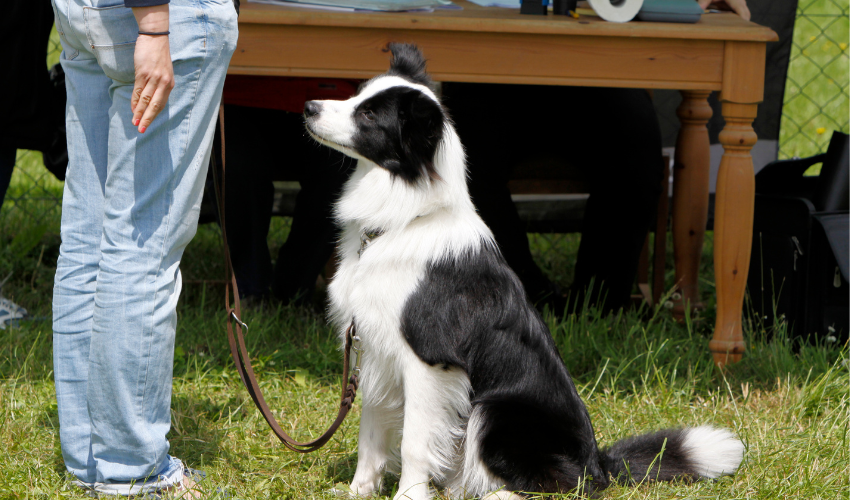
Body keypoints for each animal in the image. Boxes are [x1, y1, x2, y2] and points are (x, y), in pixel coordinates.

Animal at [302, 44, 740, 500]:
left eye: (369, 115)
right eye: (358, 95)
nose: (309, 107)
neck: (403, 221)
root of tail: (599, 465)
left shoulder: (428, 359)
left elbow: (414, 443)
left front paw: (408, 495)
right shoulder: (373, 350)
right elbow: (370, 437)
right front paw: (358, 492)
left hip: (494, 411)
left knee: (550, 483)